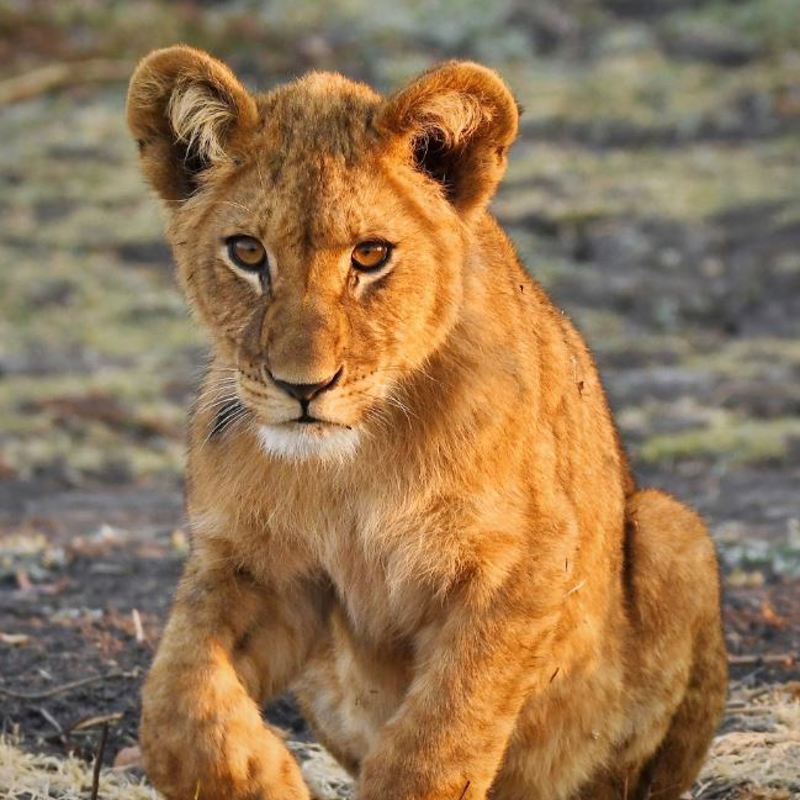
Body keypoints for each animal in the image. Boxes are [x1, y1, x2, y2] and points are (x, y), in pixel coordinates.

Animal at [126, 46, 727, 800]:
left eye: (370, 255)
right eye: (247, 252)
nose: (303, 387)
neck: (349, 468)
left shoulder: (523, 565)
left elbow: (439, 737)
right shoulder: (258, 567)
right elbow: (174, 702)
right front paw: (259, 774)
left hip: (675, 530)